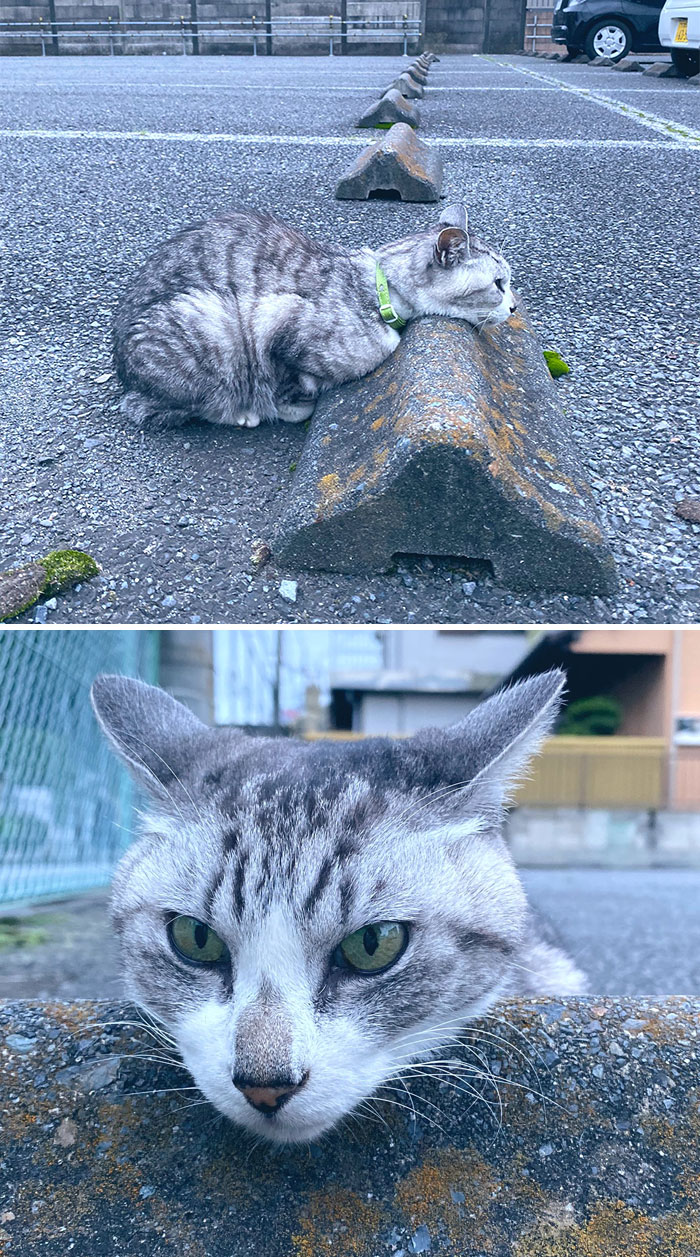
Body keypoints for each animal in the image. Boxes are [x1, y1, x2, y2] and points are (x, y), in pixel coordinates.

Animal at [110, 198, 512, 429]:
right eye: (499, 284)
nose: (515, 306)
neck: (378, 289)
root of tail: (123, 374)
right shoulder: (271, 324)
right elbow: (287, 383)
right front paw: (285, 405)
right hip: (209, 323)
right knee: (161, 407)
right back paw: (238, 412)